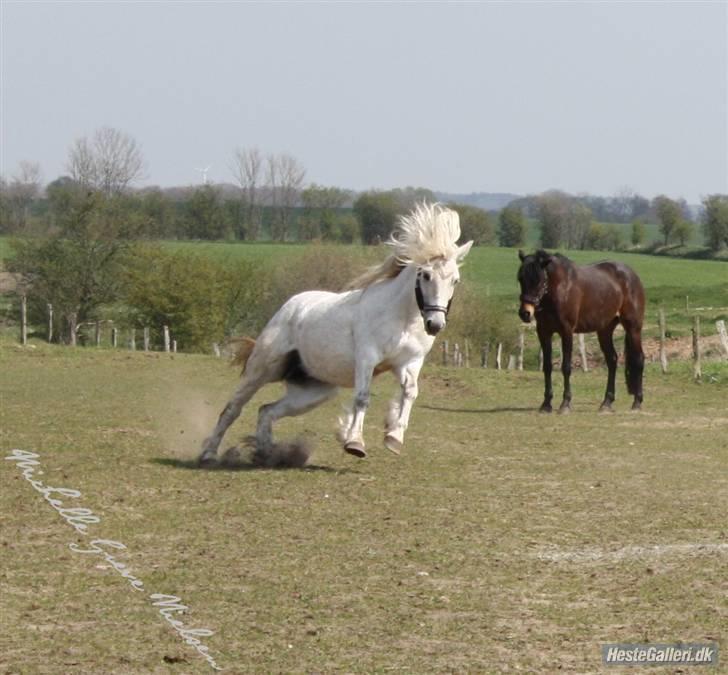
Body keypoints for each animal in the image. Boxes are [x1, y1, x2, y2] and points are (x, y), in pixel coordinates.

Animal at [198, 203, 473, 466]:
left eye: (455, 281)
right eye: (426, 275)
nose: (435, 324)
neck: (403, 317)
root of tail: (289, 307)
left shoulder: (408, 362)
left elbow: (410, 393)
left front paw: (394, 436)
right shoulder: (367, 358)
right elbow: (362, 399)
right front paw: (355, 443)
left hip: (314, 392)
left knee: (267, 411)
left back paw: (267, 454)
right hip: (263, 369)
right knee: (232, 409)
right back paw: (210, 454)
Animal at [516, 249, 645, 413]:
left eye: (539, 280)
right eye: (521, 279)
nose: (525, 313)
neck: (559, 288)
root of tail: (632, 275)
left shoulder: (566, 331)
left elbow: (566, 367)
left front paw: (565, 403)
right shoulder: (543, 332)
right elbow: (547, 366)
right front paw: (546, 404)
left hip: (633, 328)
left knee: (639, 359)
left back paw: (637, 402)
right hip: (604, 331)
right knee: (612, 361)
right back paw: (607, 402)